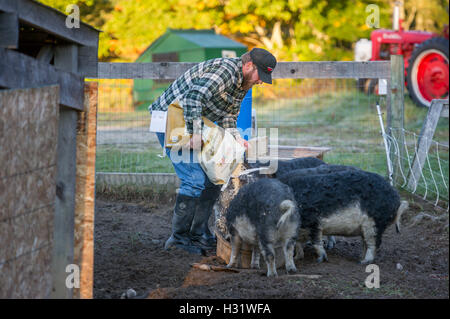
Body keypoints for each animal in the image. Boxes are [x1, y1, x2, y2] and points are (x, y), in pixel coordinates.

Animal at [278, 170, 408, 264]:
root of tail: (397, 199)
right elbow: (298, 244)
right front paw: (297, 257)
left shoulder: (313, 222)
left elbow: (316, 241)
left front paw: (320, 260)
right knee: (366, 243)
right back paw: (359, 258)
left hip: (375, 223)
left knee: (374, 243)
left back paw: (363, 262)